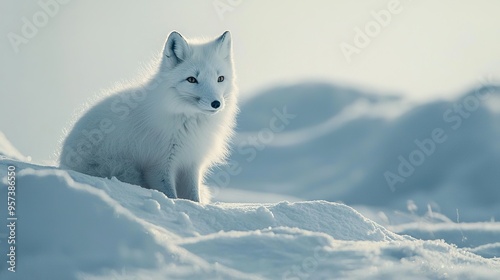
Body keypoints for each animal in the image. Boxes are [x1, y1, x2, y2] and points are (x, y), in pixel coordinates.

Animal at [58, 31, 238, 203]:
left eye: (220, 78)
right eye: (192, 79)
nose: (216, 103)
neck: (187, 121)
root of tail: (62, 163)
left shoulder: (191, 162)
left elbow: (194, 197)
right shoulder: (159, 166)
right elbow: (171, 195)